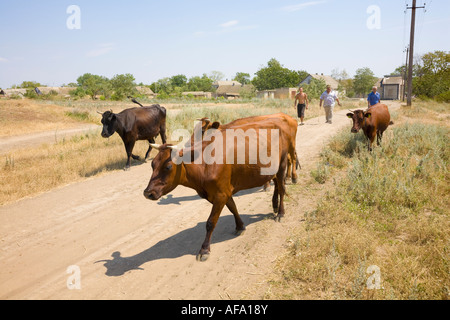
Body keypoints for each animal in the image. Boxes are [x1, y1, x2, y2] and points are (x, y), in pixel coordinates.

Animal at [142, 119, 294, 262]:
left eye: (168, 166)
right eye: (152, 164)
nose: (148, 193)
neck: (204, 164)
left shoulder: (220, 194)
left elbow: (210, 222)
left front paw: (204, 250)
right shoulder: (223, 192)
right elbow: (233, 208)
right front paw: (240, 226)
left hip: (282, 165)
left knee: (281, 188)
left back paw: (280, 213)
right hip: (272, 170)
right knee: (277, 185)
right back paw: (274, 205)